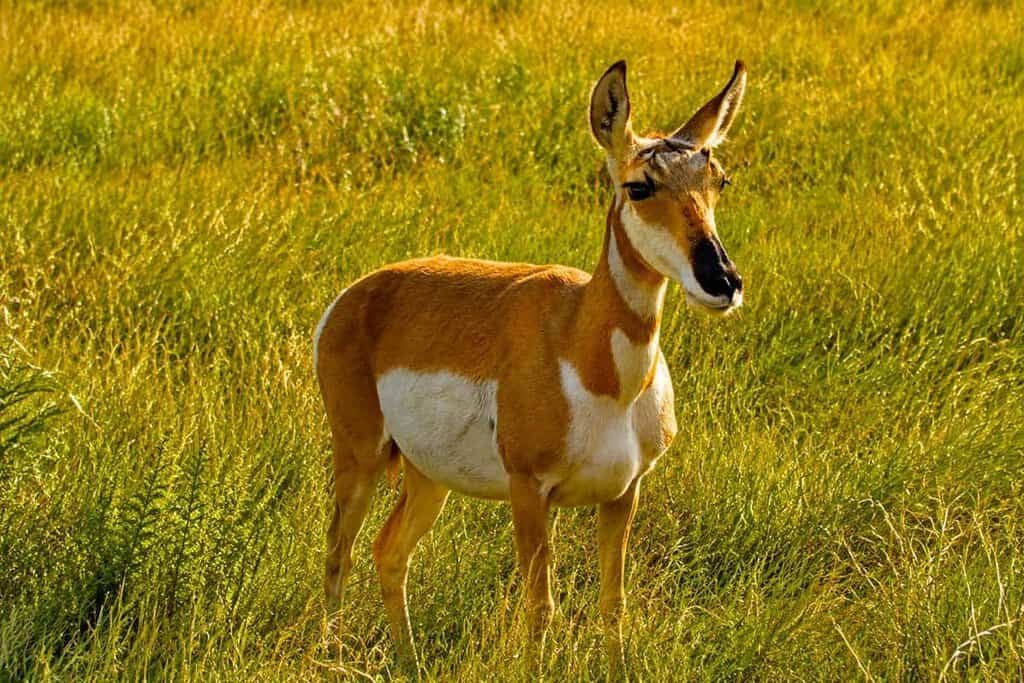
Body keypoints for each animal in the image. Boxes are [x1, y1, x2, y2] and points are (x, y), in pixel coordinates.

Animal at [315, 60, 747, 675]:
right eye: (639, 185)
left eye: (718, 180)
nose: (722, 282)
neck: (593, 365)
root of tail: (358, 294)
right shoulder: (529, 493)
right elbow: (540, 609)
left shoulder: (623, 494)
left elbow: (612, 603)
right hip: (361, 457)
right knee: (339, 551)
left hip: (427, 477)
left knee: (387, 550)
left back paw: (410, 662)